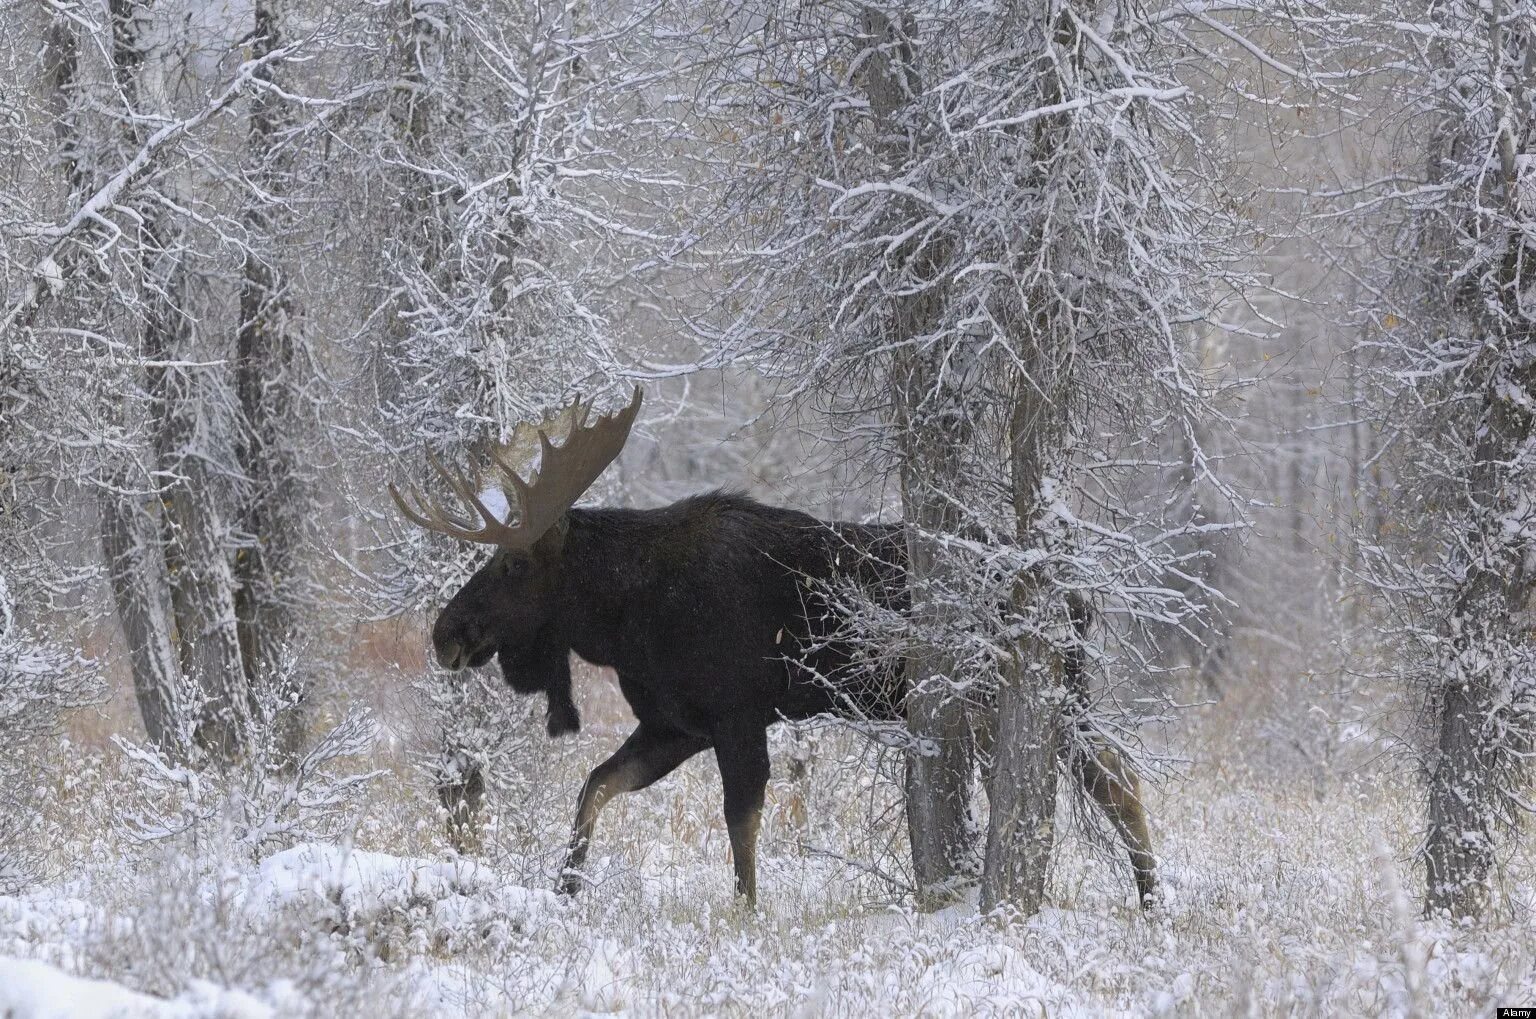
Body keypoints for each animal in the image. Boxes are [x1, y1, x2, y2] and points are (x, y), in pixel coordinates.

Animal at [390, 390, 1155, 909]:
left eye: (513, 564)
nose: (446, 632)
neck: (624, 619)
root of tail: (1081, 596)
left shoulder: (737, 715)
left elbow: (741, 825)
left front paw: (747, 915)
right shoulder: (676, 723)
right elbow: (595, 786)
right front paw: (565, 888)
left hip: (1019, 689)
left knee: (1112, 775)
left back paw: (1151, 898)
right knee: (1109, 772)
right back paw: (1149, 898)